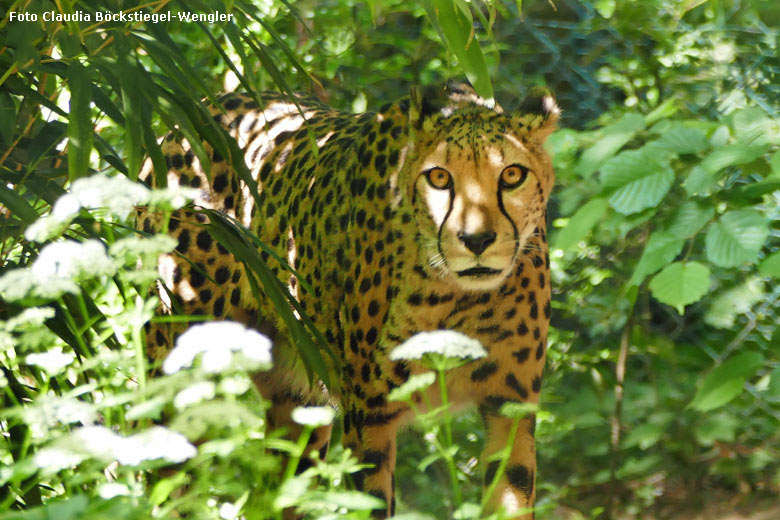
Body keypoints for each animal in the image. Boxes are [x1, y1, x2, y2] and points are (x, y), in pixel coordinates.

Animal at [139, 81, 556, 516]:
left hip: (298, 402)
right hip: (181, 377)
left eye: (512, 175)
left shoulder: (511, 407)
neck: (460, 298)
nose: (477, 240)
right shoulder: (369, 418)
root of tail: (199, 108)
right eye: (439, 177)